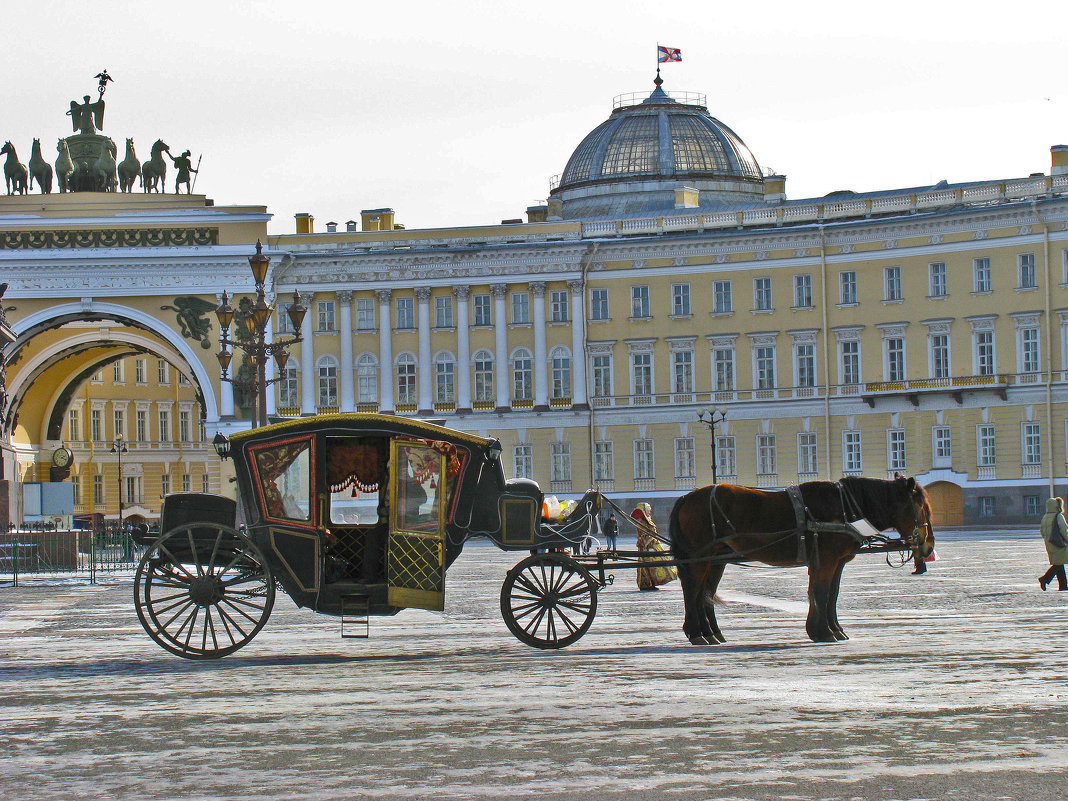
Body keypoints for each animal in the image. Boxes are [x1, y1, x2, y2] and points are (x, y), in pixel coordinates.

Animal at [670, 476, 931, 645]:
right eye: (921, 508)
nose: (928, 545)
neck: (843, 507)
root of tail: (686, 497)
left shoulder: (836, 563)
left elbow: (831, 595)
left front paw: (832, 629)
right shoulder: (825, 562)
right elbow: (821, 593)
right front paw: (822, 631)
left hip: (716, 561)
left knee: (704, 593)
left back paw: (711, 633)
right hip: (699, 559)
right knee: (692, 591)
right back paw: (697, 633)